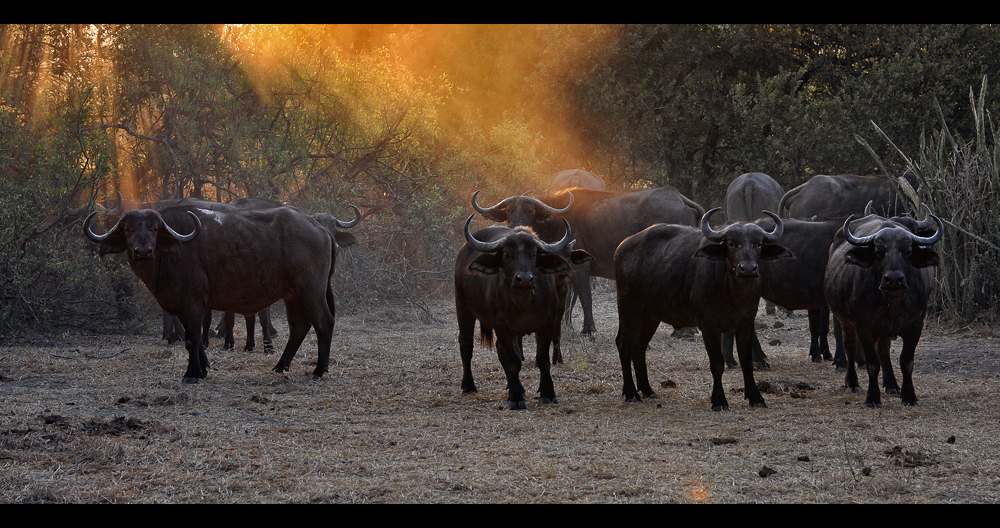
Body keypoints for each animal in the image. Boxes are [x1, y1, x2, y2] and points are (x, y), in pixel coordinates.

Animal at [83, 204, 340, 382]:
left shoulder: (193, 302)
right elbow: (194, 338)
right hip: (292, 295)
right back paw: (280, 366)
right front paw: (203, 368)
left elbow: (193, 338)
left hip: (311, 289)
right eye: (128, 229)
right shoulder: (184, 306)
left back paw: (319, 370)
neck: (169, 253)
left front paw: (192, 373)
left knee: (324, 322)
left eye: (155, 229)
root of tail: (320, 228)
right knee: (299, 327)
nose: (143, 251)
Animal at [456, 214, 588, 408]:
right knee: (466, 345)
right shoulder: (502, 326)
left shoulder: (547, 324)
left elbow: (542, 360)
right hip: (463, 308)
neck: (523, 302)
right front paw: (515, 397)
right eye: (507, 255)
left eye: (533, 255)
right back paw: (468, 386)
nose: (524, 279)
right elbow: (513, 361)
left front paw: (547, 393)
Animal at [474, 186, 704, 334]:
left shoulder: (581, 268)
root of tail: (680, 198)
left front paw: (588, 328)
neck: (557, 221)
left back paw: (684, 332)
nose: (515, 227)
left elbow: (584, 297)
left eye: (530, 210)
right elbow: (567, 298)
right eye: (509, 210)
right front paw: (566, 325)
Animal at [612, 208, 792, 410]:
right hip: (628, 305)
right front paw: (719, 400)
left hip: (651, 315)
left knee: (639, 347)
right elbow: (717, 363)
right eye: (731, 244)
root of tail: (622, 247)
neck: (732, 291)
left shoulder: (746, 323)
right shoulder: (708, 325)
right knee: (624, 344)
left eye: (759, 244)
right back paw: (631, 393)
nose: (747, 268)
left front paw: (756, 397)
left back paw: (648, 391)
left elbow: (746, 362)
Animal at [824, 206, 940, 408]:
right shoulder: (863, 326)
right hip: (846, 322)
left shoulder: (916, 325)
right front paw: (872, 397)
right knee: (850, 348)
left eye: (908, 251)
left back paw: (892, 385)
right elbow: (872, 363)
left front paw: (909, 396)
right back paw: (852, 383)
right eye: (878, 252)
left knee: (884, 350)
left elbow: (906, 362)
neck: (892, 301)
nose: (893, 279)